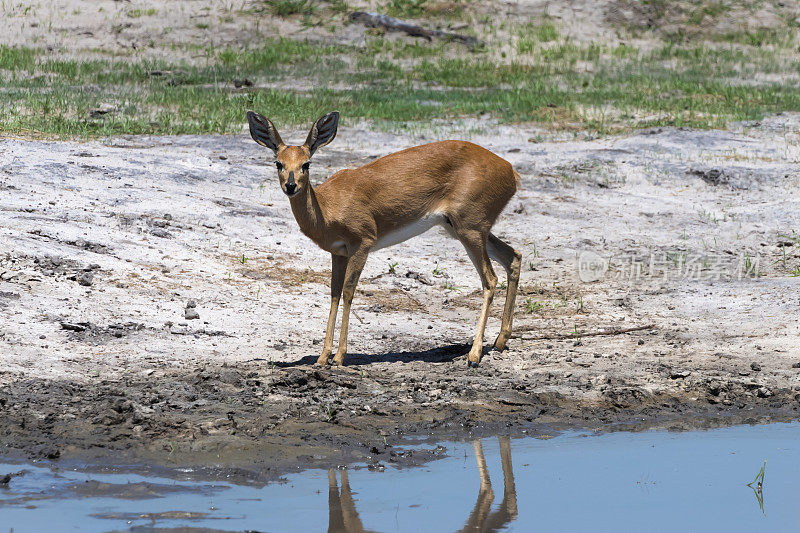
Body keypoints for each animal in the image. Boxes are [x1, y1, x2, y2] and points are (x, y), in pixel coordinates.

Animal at [247, 108, 520, 366]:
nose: (291, 186)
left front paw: (339, 357)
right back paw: (499, 341)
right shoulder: (338, 253)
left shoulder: (362, 244)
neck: (327, 207)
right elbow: (334, 294)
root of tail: (510, 171)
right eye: (278, 163)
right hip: (463, 229)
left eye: (306, 163)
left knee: (490, 279)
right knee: (513, 257)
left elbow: (348, 292)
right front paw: (322, 357)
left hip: (470, 229)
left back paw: (474, 355)